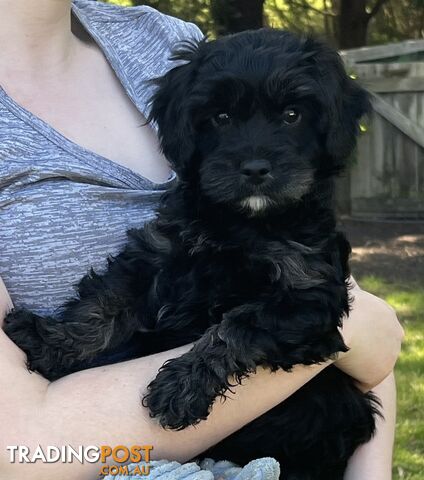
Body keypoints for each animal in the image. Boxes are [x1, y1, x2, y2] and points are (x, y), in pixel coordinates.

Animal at [4, 30, 380, 480]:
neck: (241, 223)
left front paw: (181, 386)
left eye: (293, 115)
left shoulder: (309, 297)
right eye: (220, 117)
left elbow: (236, 325)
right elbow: (104, 305)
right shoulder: (156, 254)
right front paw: (50, 341)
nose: (255, 169)